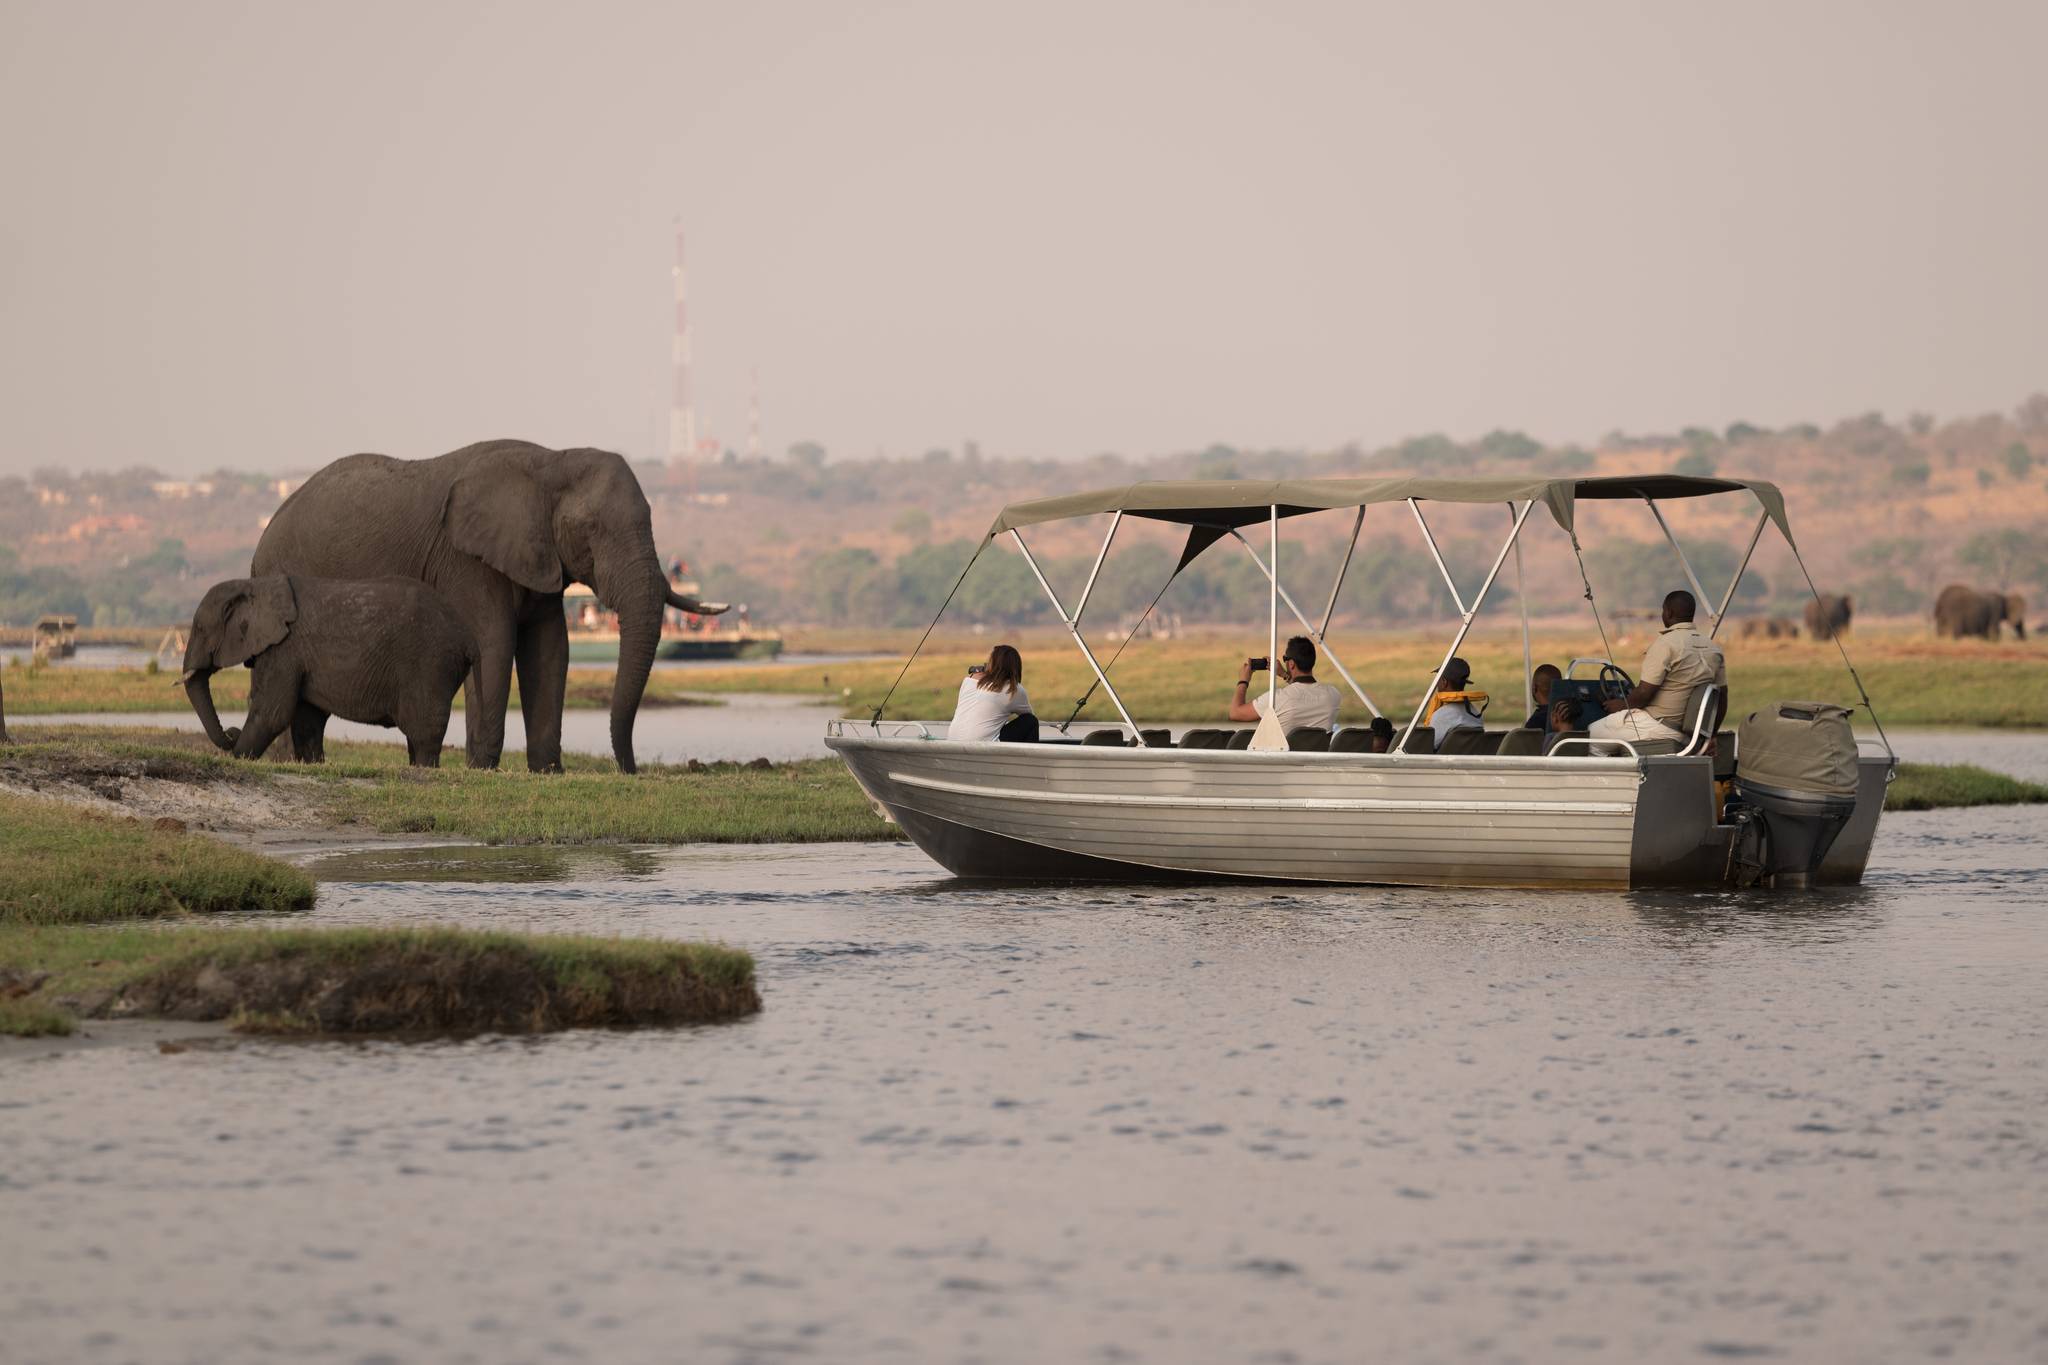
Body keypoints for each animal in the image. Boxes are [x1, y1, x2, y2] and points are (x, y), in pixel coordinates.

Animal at [180, 577, 475, 769]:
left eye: (200, 629)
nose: (231, 732)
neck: (254, 586)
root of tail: (465, 635)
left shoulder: (284, 650)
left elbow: (272, 713)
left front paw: (239, 757)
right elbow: (306, 720)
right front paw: (313, 765)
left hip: (431, 664)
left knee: (424, 733)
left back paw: (424, 771)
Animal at [252, 444, 724, 773]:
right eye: (591, 528)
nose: (631, 770)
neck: (551, 462)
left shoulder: (538, 561)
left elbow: (550, 651)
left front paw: (548, 772)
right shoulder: (467, 561)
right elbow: (492, 643)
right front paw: (482, 768)